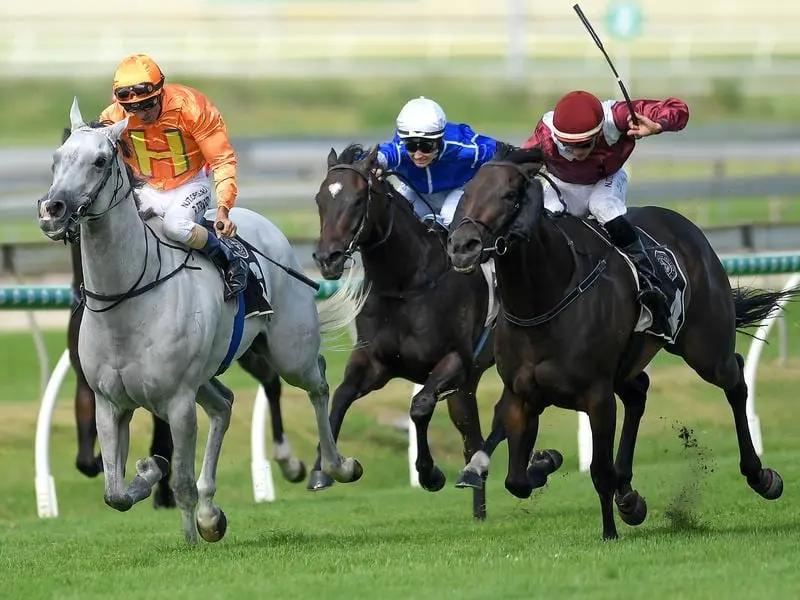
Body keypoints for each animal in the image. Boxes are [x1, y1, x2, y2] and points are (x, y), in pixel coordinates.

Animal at [38, 98, 368, 544]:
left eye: (100, 160)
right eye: (57, 158)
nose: (52, 210)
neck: (128, 297)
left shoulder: (177, 401)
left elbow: (179, 481)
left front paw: (189, 535)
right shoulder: (109, 402)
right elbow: (114, 492)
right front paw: (150, 473)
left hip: (289, 351)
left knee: (316, 382)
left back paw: (335, 467)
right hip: (208, 374)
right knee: (224, 405)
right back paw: (212, 512)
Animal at [312, 145, 564, 520]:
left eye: (358, 200)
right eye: (319, 199)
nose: (327, 257)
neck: (408, 285)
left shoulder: (454, 362)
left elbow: (419, 406)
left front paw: (430, 474)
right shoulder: (375, 363)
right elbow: (340, 399)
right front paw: (326, 470)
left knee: (499, 421)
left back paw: (533, 464)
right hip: (468, 386)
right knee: (474, 435)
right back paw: (480, 500)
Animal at [446, 144, 792, 540]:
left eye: (508, 195)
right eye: (467, 193)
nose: (462, 246)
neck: (544, 300)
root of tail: (687, 227)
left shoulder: (596, 395)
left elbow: (600, 471)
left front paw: (609, 532)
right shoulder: (521, 395)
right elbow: (516, 480)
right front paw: (545, 462)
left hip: (705, 348)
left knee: (734, 378)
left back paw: (760, 476)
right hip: (630, 365)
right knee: (639, 392)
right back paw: (629, 496)